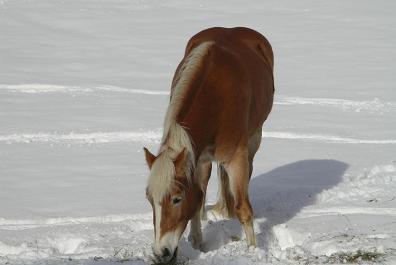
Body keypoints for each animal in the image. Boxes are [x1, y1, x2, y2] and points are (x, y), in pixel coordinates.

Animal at [143, 26, 276, 262]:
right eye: (150, 199)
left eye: (176, 199)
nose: (161, 254)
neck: (214, 98)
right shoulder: (197, 157)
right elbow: (197, 198)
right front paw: (197, 243)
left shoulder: (236, 157)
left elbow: (244, 209)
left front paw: (252, 249)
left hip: (254, 139)